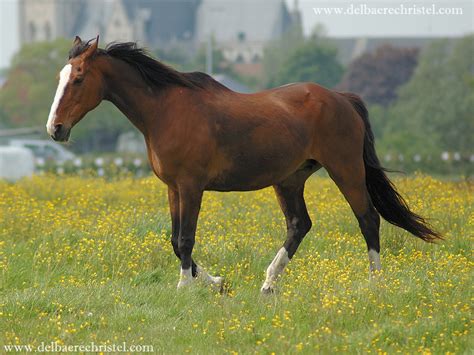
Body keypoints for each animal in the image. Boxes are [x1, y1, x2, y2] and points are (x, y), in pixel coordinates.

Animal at [46, 36, 438, 294]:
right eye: (59, 78)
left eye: (78, 78)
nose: (55, 129)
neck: (166, 111)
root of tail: (342, 98)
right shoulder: (173, 188)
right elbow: (174, 240)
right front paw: (217, 282)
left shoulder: (191, 186)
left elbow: (185, 239)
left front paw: (184, 288)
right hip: (290, 179)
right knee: (299, 225)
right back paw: (268, 284)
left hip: (346, 170)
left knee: (367, 219)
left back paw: (375, 283)